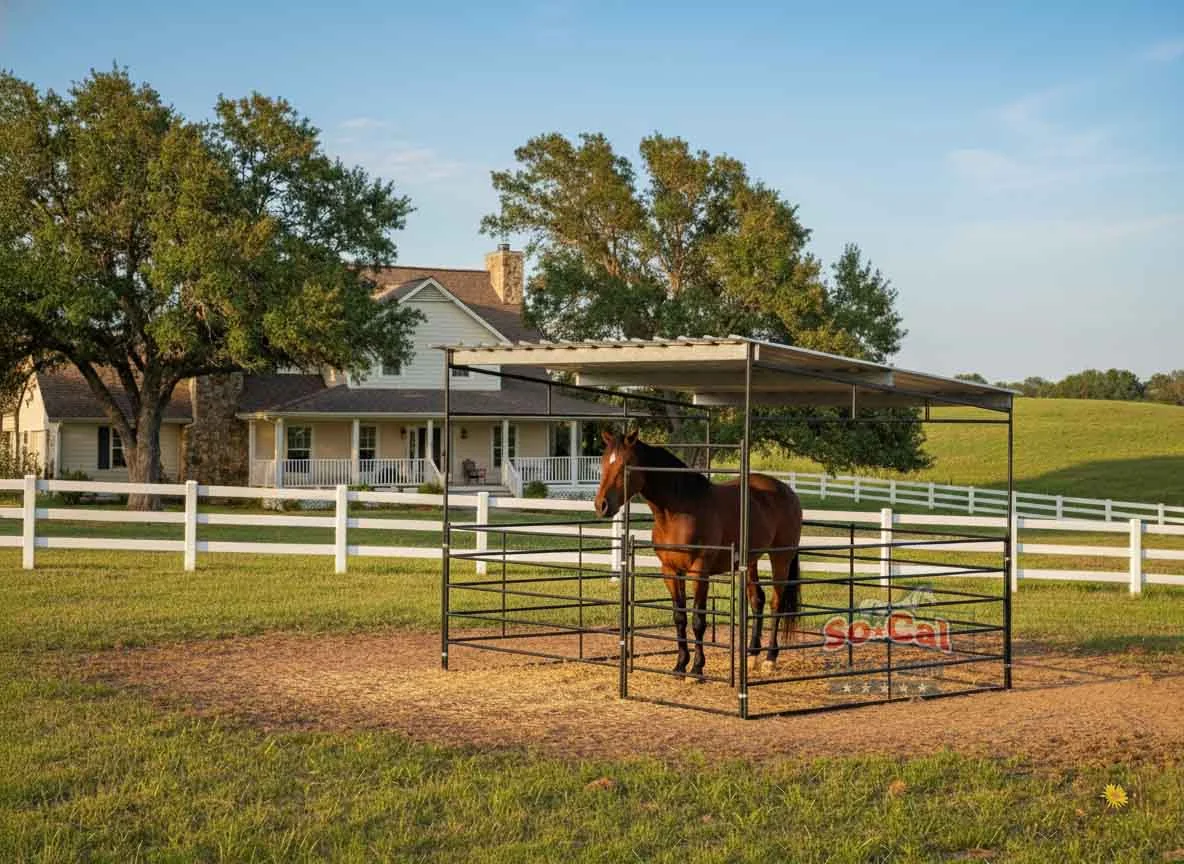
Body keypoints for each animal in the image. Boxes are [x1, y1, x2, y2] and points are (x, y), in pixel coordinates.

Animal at [593, 429, 803, 680]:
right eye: (603, 462)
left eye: (626, 465)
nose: (601, 505)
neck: (679, 511)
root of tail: (787, 491)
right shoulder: (670, 571)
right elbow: (680, 617)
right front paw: (680, 666)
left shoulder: (699, 571)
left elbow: (697, 619)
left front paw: (697, 668)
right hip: (751, 559)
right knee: (757, 599)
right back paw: (752, 656)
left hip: (781, 557)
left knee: (776, 602)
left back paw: (770, 658)